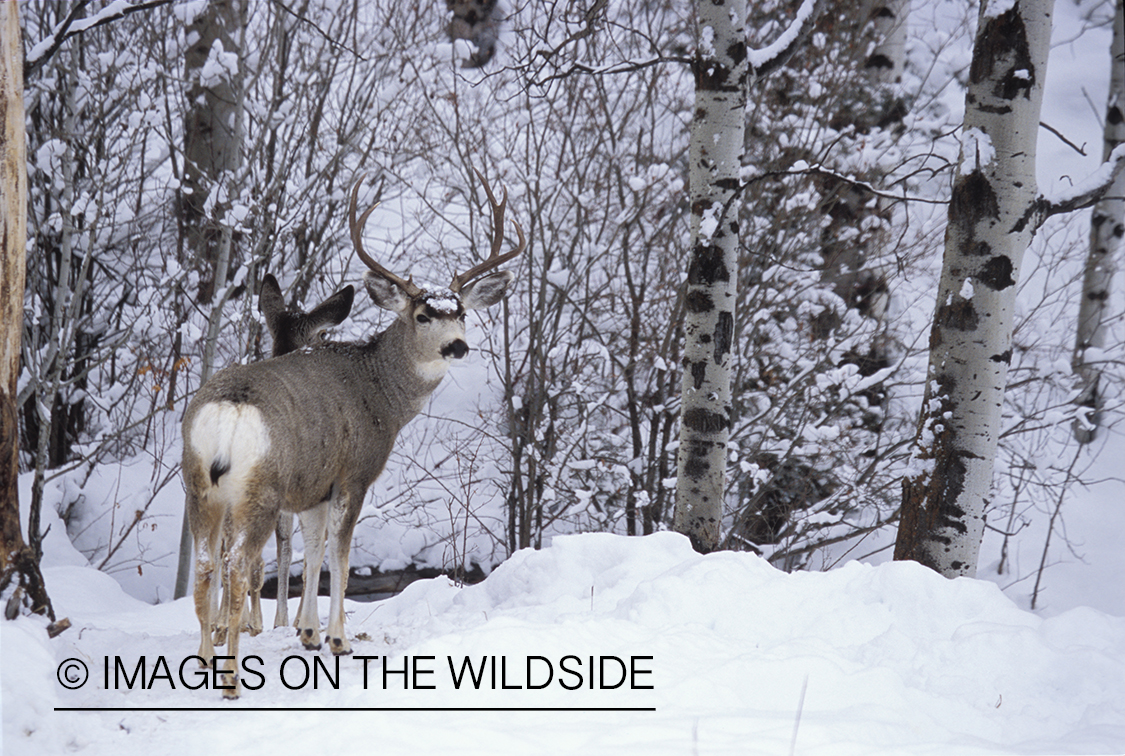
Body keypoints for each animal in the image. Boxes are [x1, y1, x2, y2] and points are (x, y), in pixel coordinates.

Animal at [182, 171, 524, 698]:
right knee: (238, 567)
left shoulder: (315, 485)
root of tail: (228, 411)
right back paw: (231, 680)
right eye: (423, 315)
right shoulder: (354, 473)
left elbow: (314, 549)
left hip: (199, 485)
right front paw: (338, 640)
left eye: (462, 312)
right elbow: (339, 557)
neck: (379, 394)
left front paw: (307, 633)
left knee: (204, 566)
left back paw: (202, 664)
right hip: (260, 489)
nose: (457, 346)